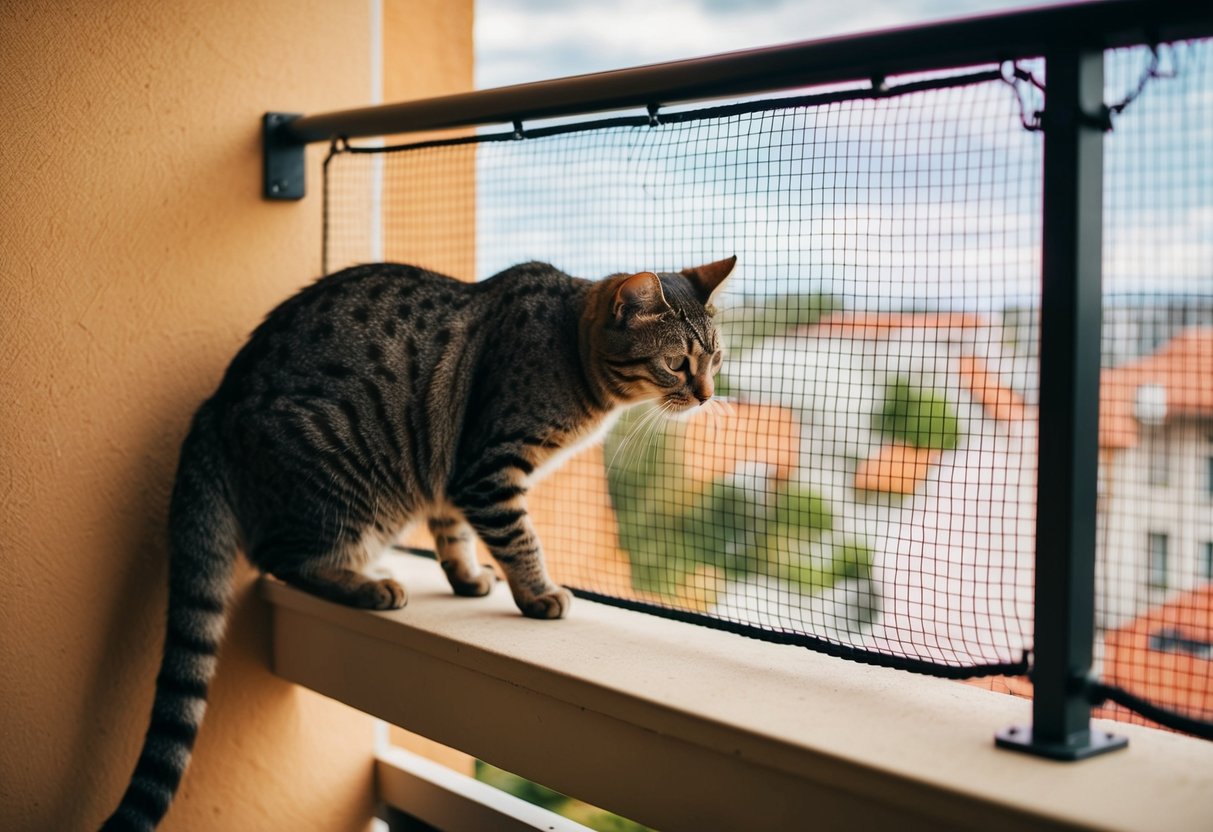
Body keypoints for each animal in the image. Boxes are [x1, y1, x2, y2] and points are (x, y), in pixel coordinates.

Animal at [101, 257, 727, 829]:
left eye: (716, 359)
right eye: (676, 363)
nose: (706, 396)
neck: (570, 349)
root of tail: (216, 401)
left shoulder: (453, 480)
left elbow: (454, 535)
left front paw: (468, 578)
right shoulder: (489, 469)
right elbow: (520, 540)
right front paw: (539, 593)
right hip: (346, 487)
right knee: (282, 560)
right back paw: (367, 586)